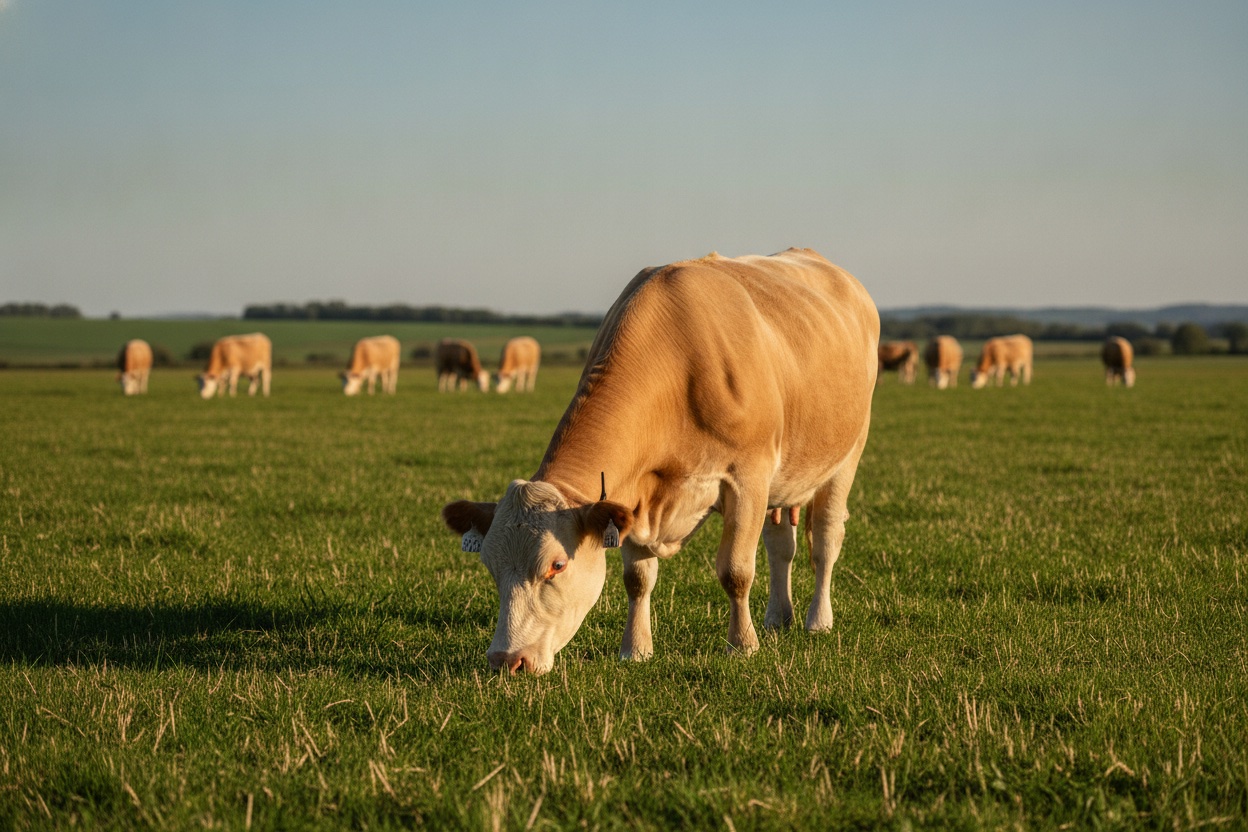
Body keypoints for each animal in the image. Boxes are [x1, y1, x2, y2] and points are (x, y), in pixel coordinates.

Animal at [441, 248, 879, 675]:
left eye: (557, 565)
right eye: (490, 567)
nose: (506, 660)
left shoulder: (748, 478)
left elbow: (736, 571)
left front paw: (742, 646)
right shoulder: (634, 496)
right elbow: (637, 578)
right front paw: (635, 649)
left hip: (848, 454)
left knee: (825, 540)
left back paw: (817, 620)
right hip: (783, 482)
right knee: (780, 546)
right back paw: (777, 617)